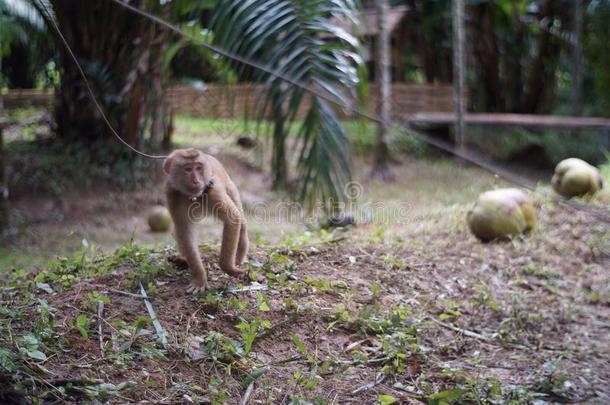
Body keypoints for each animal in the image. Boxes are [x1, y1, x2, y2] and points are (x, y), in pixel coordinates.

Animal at [163, 148, 248, 290]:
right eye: (188, 169)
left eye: (198, 168)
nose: (196, 180)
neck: (193, 196)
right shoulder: (172, 194)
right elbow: (185, 231)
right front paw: (199, 278)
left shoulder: (212, 190)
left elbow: (233, 219)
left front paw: (229, 268)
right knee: (178, 232)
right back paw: (183, 260)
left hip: (231, 187)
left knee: (241, 224)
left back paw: (239, 256)